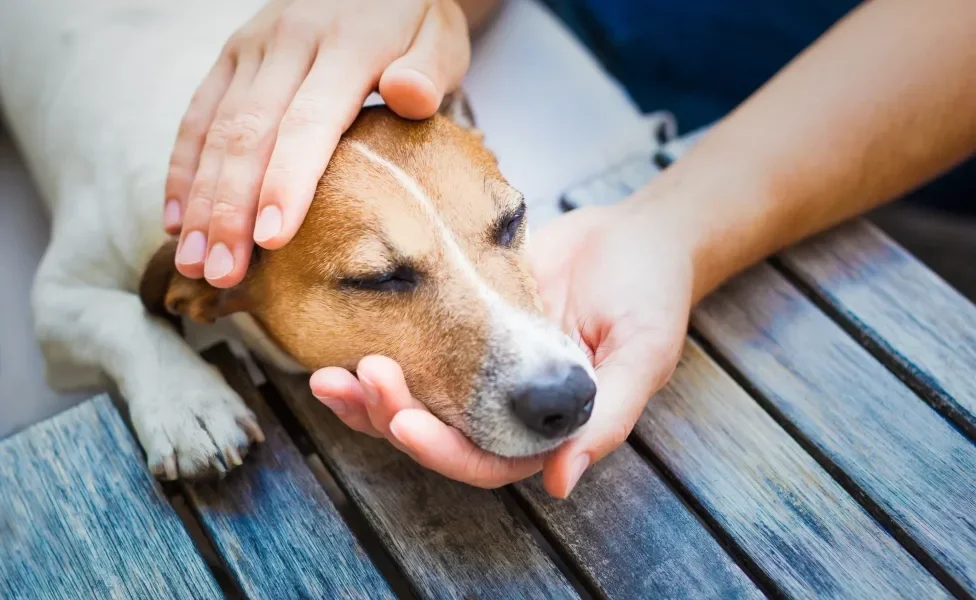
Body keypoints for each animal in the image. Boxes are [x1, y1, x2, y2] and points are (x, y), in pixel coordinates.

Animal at [0, 0, 600, 480]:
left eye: (513, 220)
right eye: (378, 279)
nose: (567, 397)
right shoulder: (56, 300)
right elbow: (124, 316)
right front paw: (188, 403)